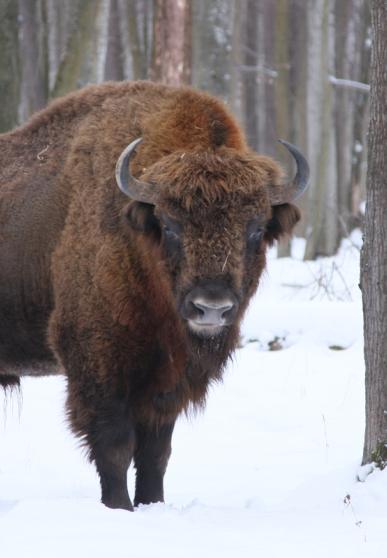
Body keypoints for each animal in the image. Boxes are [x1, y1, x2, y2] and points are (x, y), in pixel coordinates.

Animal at [0, 80, 310, 512]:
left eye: (255, 229)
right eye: (170, 225)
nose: (210, 308)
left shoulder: (167, 383)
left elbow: (155, 452)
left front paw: (153, 504)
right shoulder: (99, 366)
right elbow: (115, 446)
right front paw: (119, 508)